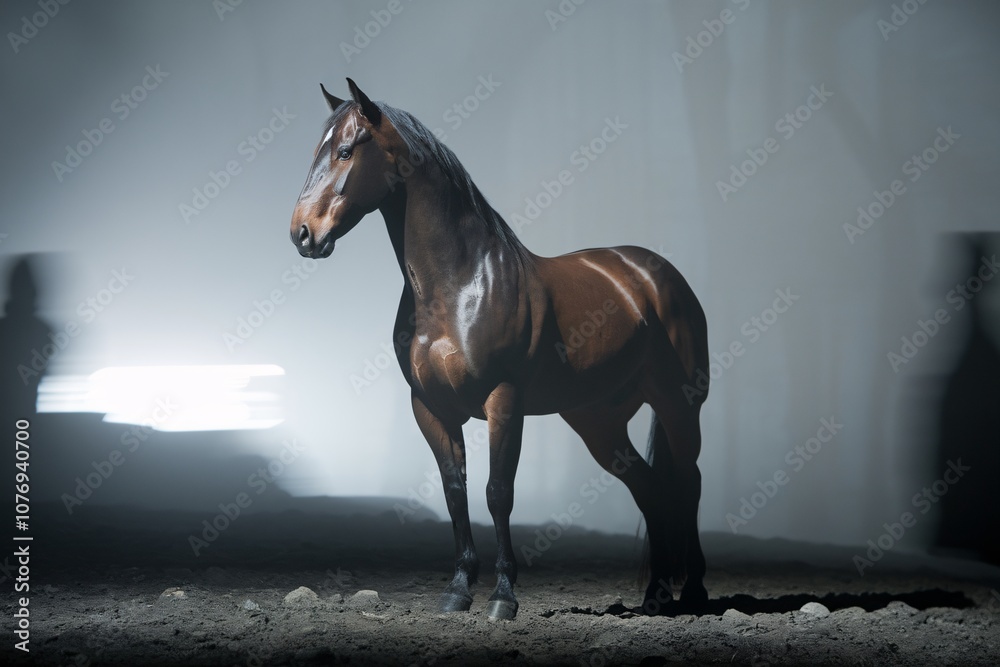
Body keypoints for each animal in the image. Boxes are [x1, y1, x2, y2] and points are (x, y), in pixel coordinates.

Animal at [289, 79, 709, 620]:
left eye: (345, 151)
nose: (302, 233)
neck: (461, 285)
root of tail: (653, 274)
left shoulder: (504, 401)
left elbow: (497, 493)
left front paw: (503, 596)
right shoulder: (430, 407)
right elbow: (455, 493)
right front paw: (457, 590)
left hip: (678, 404)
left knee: (689, 483)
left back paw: (694, 592)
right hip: (599, 422)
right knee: (651, 491)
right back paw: (656, 596)